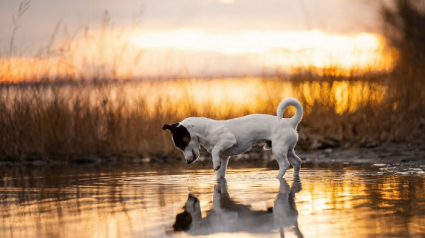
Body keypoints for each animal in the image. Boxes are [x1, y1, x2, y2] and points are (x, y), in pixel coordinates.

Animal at [161, 97, 302, 178]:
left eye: (181, 144)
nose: (188, 162)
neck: (205, 130)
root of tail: (290, 122)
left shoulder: (228, 140)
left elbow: (215, 151)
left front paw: (215, 163)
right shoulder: (224, 158)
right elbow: (220, 174)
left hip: (278, 150)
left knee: (285, 164)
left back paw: (277, 178)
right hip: (288, 150)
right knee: (297, 162)